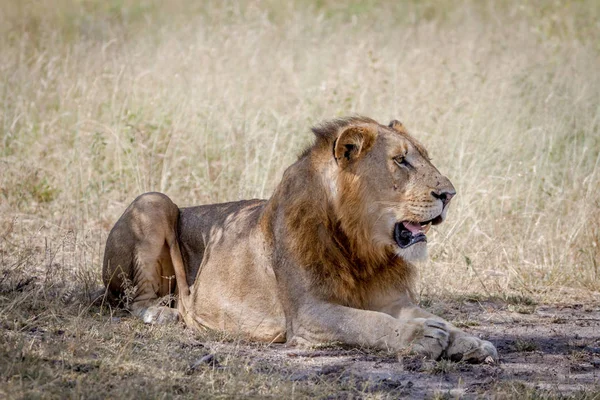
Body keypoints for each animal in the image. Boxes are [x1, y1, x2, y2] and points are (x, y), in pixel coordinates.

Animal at [102, 115, 496, 362]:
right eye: (401, 161)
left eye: (424, 157)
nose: (450, 194)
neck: (362, 247)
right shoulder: (308, 313)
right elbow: (369, 322)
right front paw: (422, 337)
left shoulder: (393, 298)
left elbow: (436, 317)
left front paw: (471, 341)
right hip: (154, 201)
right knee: (133, 299)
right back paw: (162, 313)